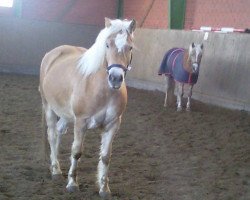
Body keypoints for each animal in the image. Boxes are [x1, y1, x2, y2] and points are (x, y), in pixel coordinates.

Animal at [39, 17, 136, 198]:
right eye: (107, 45)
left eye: (130, 47)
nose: (115, 78)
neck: (102, 89)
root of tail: (52, 54)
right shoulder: (81, 122)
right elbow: (76, 152)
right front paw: (72, 184)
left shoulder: (112, 125)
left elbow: (105, 157)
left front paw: (104, 189)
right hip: (48, 107)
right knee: (52, 135)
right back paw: (55, 171)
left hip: (65, 114)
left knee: (58, 131)